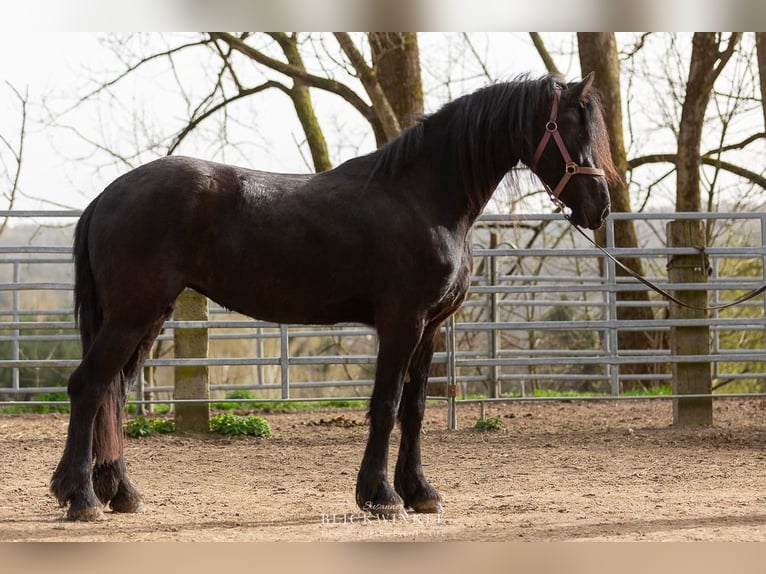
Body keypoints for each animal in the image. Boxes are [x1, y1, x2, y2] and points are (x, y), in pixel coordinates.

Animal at [50, 73, 617, 521]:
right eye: (569, 127)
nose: (600, 207)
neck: (424, 197)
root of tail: (107, 195)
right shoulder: (402, 322)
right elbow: (386, 404)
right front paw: (381, 497)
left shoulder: (431, 329)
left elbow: (415, 409)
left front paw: (420, 493)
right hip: (132, 315)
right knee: (89, 387)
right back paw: (81, 498)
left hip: (147, 318)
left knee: (114, 395)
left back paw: (120, 493)